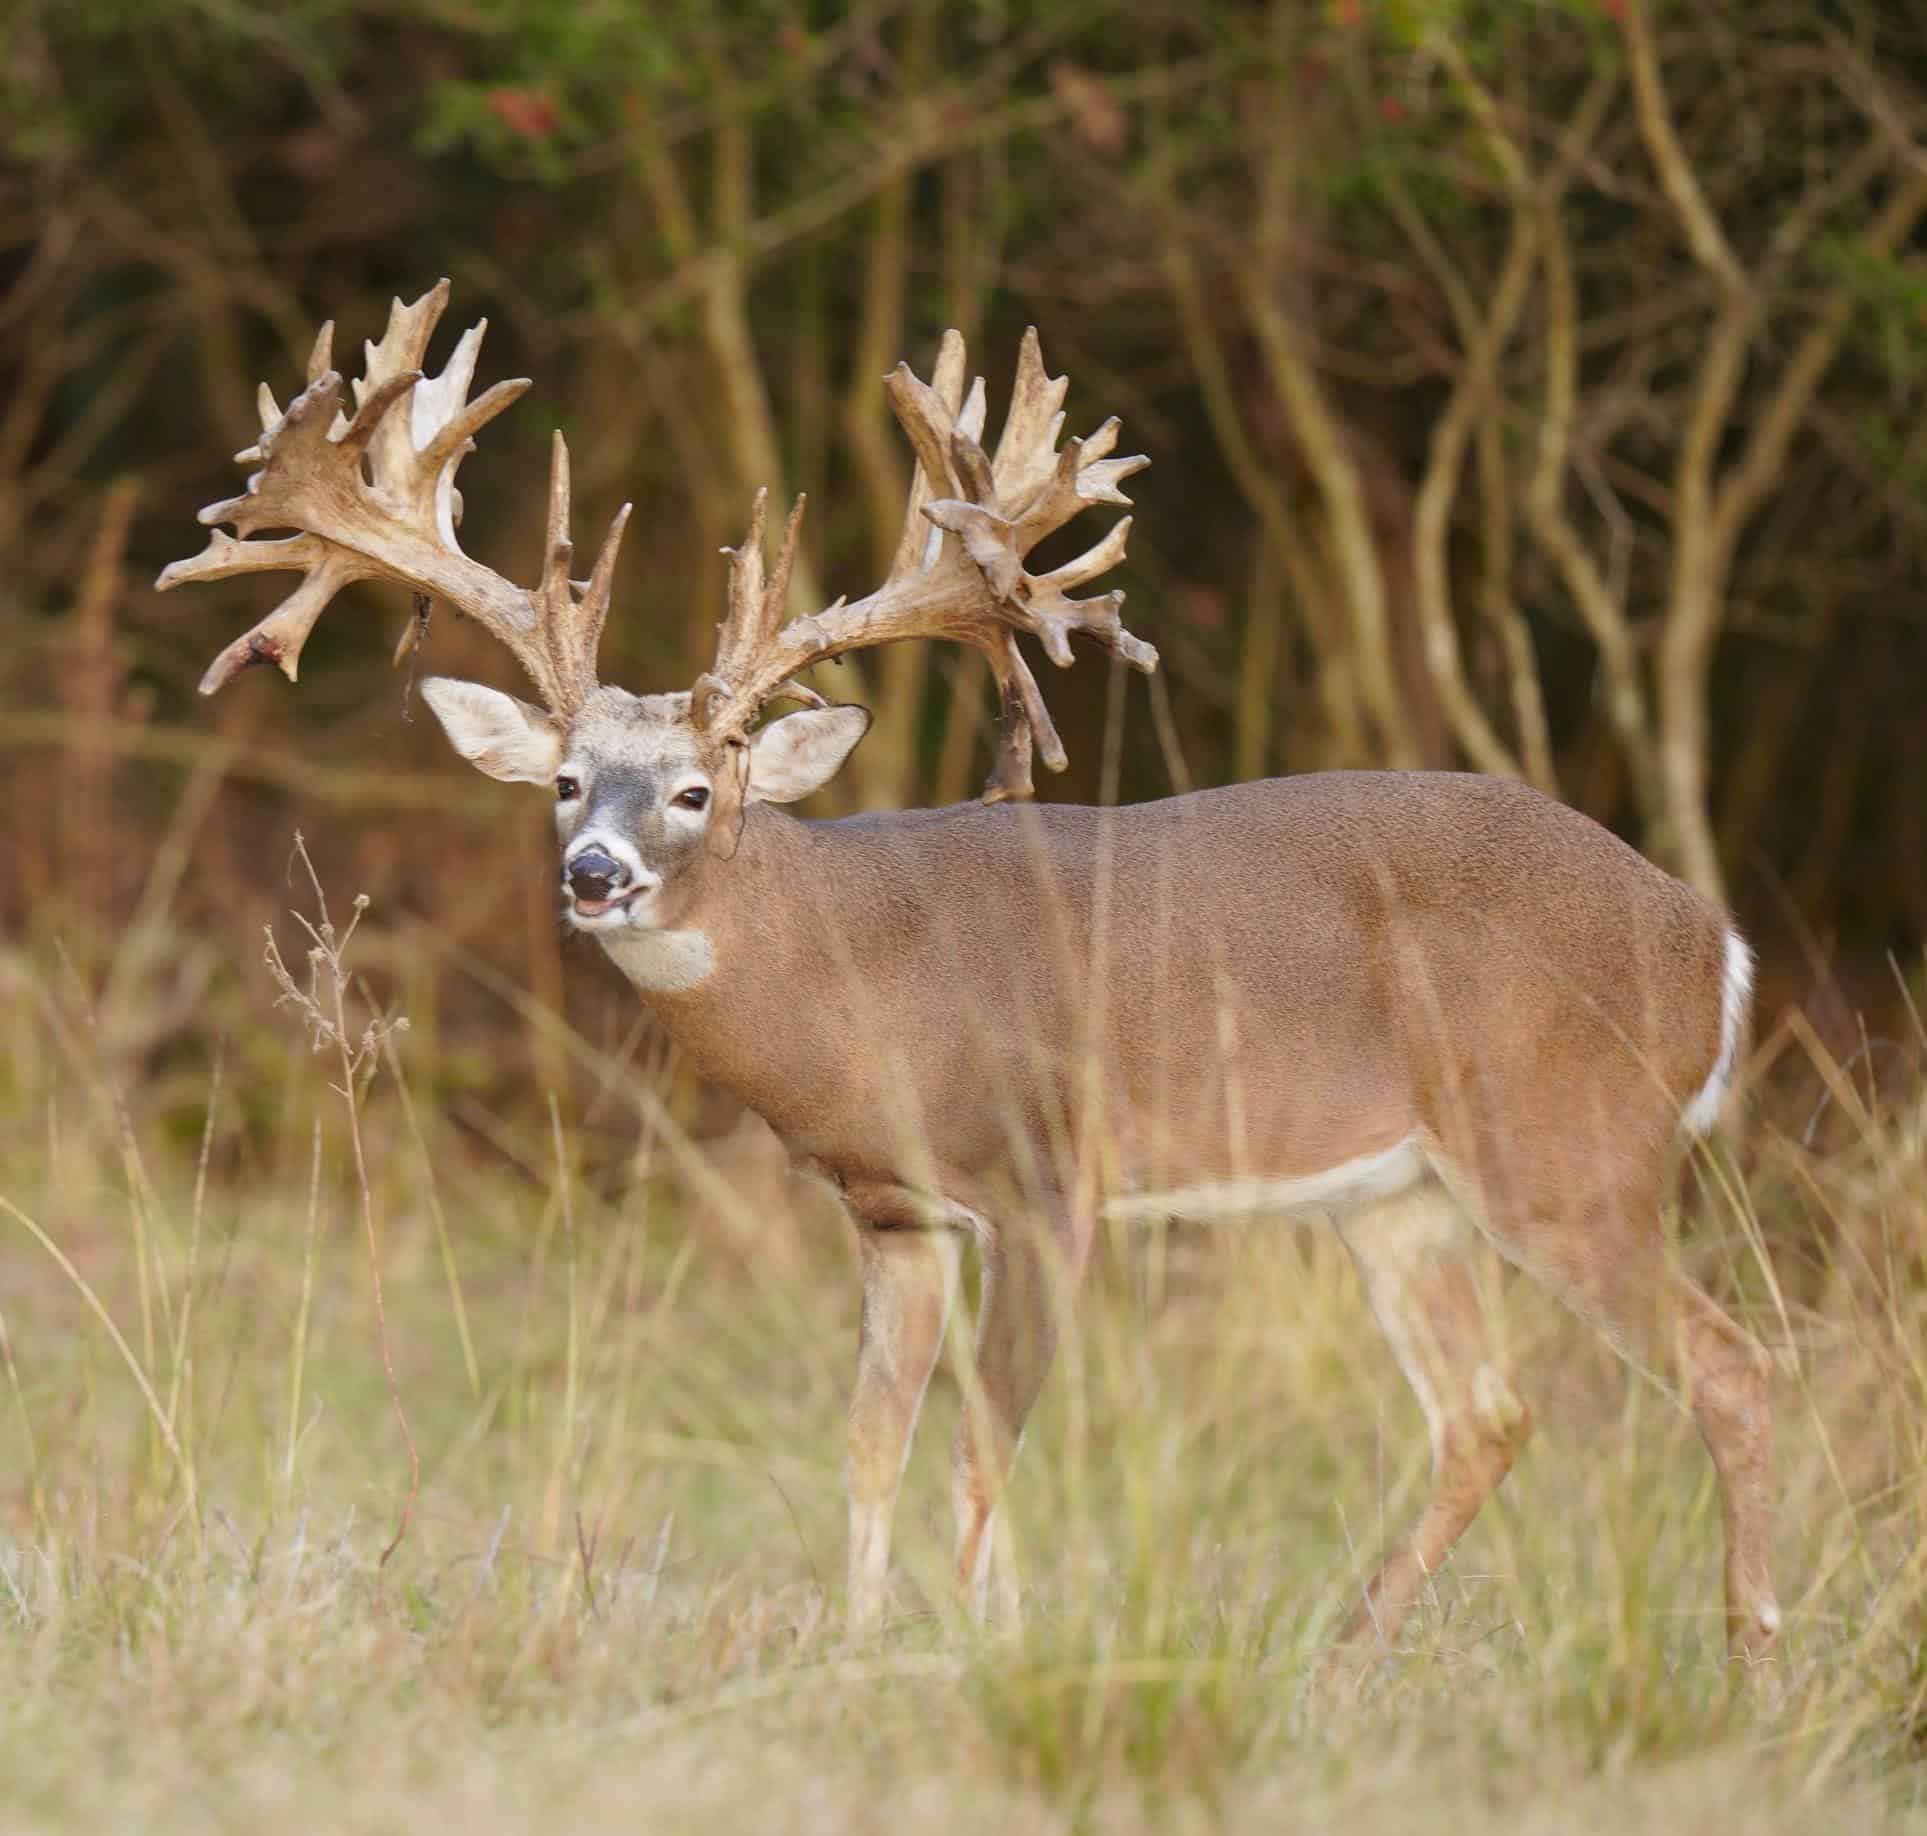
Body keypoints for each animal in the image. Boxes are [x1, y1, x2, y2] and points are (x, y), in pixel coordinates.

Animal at [160, 282, 1778, 1671]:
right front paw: (873, 1638)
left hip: (1567, 1145)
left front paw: (976, 1646)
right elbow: (871, 1438)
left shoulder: (1050, 1181)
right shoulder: (897, 1214)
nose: (594, 874)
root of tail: (1714, 943)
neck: (859, 986)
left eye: (697, 787)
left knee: (1728, 1366)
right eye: (564, 781)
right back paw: (1346, 1653)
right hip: (1400, 1202)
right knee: (1486, 1416)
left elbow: (982, 1444)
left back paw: (1745, 1656)